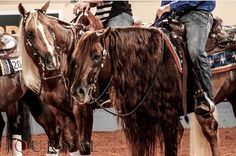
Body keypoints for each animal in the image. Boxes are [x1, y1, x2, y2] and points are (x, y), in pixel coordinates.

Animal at [69, 26, 235, 155]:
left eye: (96, 56)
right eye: (75, 58)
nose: (77, 91)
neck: (154, 64)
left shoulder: (170, 120)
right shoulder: (138, 124)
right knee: (210, 129)